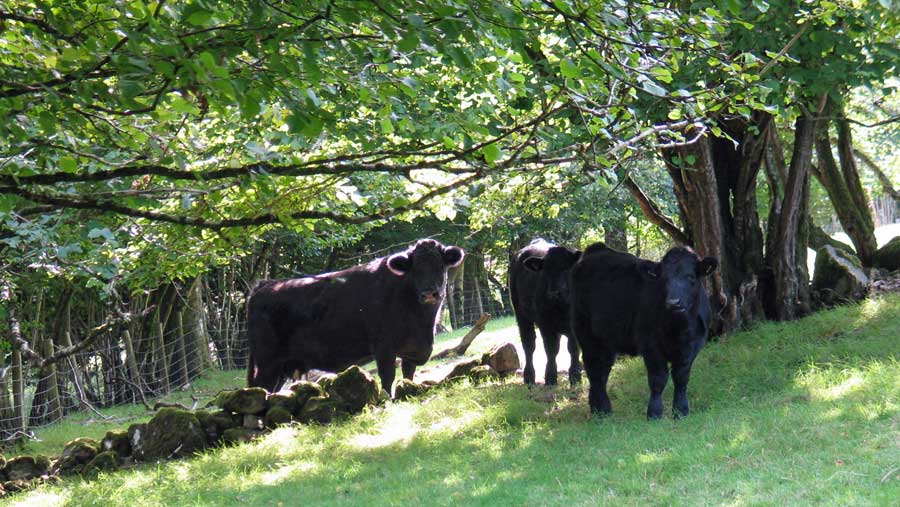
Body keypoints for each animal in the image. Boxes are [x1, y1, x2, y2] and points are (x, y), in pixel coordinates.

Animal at [244, 240, 464, 394]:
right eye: (415, 268)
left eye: (440, 266)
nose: (429, 294)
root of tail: (264, 285)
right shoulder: (383, 347)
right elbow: (387, 377)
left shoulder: (411, 350)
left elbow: (407, 376)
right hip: (267, 364)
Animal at [506, 240, 584, 386]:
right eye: (545, 271)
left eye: (567, 268)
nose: (553, 293)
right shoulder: (545, 322)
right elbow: (551, 349)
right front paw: (550, 378)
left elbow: (573, 348)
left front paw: (575, 376)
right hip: (521, 314)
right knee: (529, 344)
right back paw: (529, 377)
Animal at [572, 244, 720, 418]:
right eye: (664, 279)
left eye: (691, 277)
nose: (673, 303)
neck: (681, 329)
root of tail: (596, 249)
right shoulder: (650, 345)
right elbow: (658, 379)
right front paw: (654, 413)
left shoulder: (693, 346)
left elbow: (681, 377)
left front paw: (681, 411)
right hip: (585, 333)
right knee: (594, 369)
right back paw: (602, 410)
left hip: (607, 339)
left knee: (603, 370)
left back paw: (599, 409)